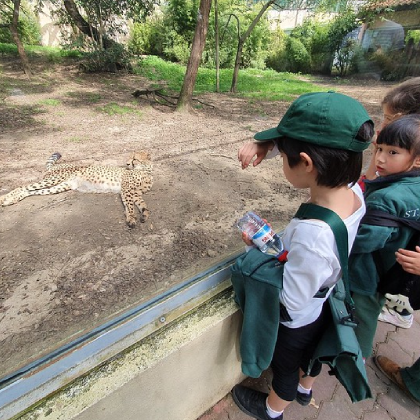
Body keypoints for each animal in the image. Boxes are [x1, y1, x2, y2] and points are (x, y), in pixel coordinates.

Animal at [0, 153, 154, 228]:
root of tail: (54, 166)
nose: (127, 163)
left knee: (29, 192)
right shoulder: (126, 188)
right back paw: (4, 199)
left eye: (135, 158)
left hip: (60, 186)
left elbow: (142, 205)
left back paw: (10, 201)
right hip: (54, 179)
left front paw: (143, 215)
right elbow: (130, 205)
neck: (147, 170)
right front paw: (132, 218)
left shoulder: (134, 192)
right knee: (22, 187)